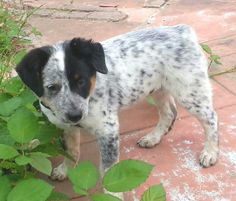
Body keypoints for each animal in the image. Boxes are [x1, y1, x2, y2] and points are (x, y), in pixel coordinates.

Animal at [16, 24, 219, 188]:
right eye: (52, 87)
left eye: (81, 81)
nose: (75, 116)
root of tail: (182, 30)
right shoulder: (66, 127)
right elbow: (71, 151)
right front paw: (65, 170)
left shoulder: (108, 131)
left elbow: (108, 173)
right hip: (157, 89)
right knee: (168, 113)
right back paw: (153, 138)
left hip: (190, 92)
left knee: (211, 119)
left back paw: (210, 152)